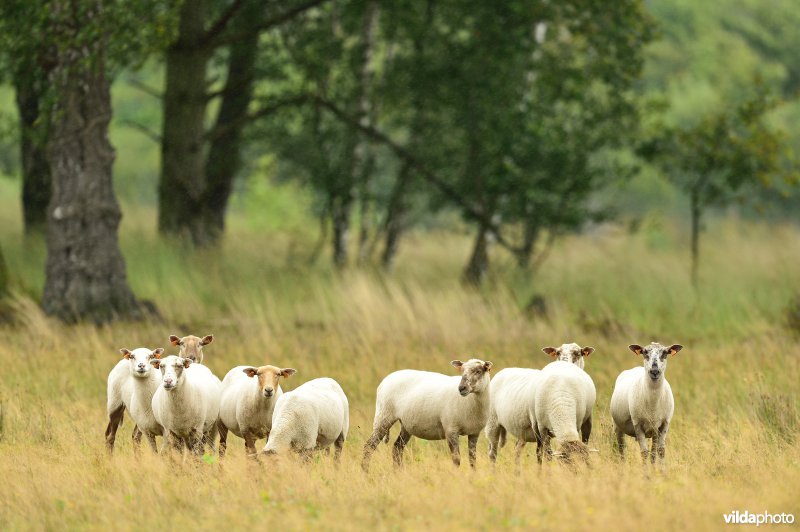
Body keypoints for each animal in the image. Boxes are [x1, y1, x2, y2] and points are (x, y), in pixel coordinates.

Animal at [362, 360, 494, 472]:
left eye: (478, 371)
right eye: (462, 371)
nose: (461, 388)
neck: (471, 401)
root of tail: (386, 379)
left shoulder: (474, 433)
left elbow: (472, 459)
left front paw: (473, 475)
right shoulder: (451, 430)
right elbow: (456, 459)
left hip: (406, 424)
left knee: (397, 448)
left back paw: (398, 473)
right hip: (384, 415)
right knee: (369, 446)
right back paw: (365, 472)